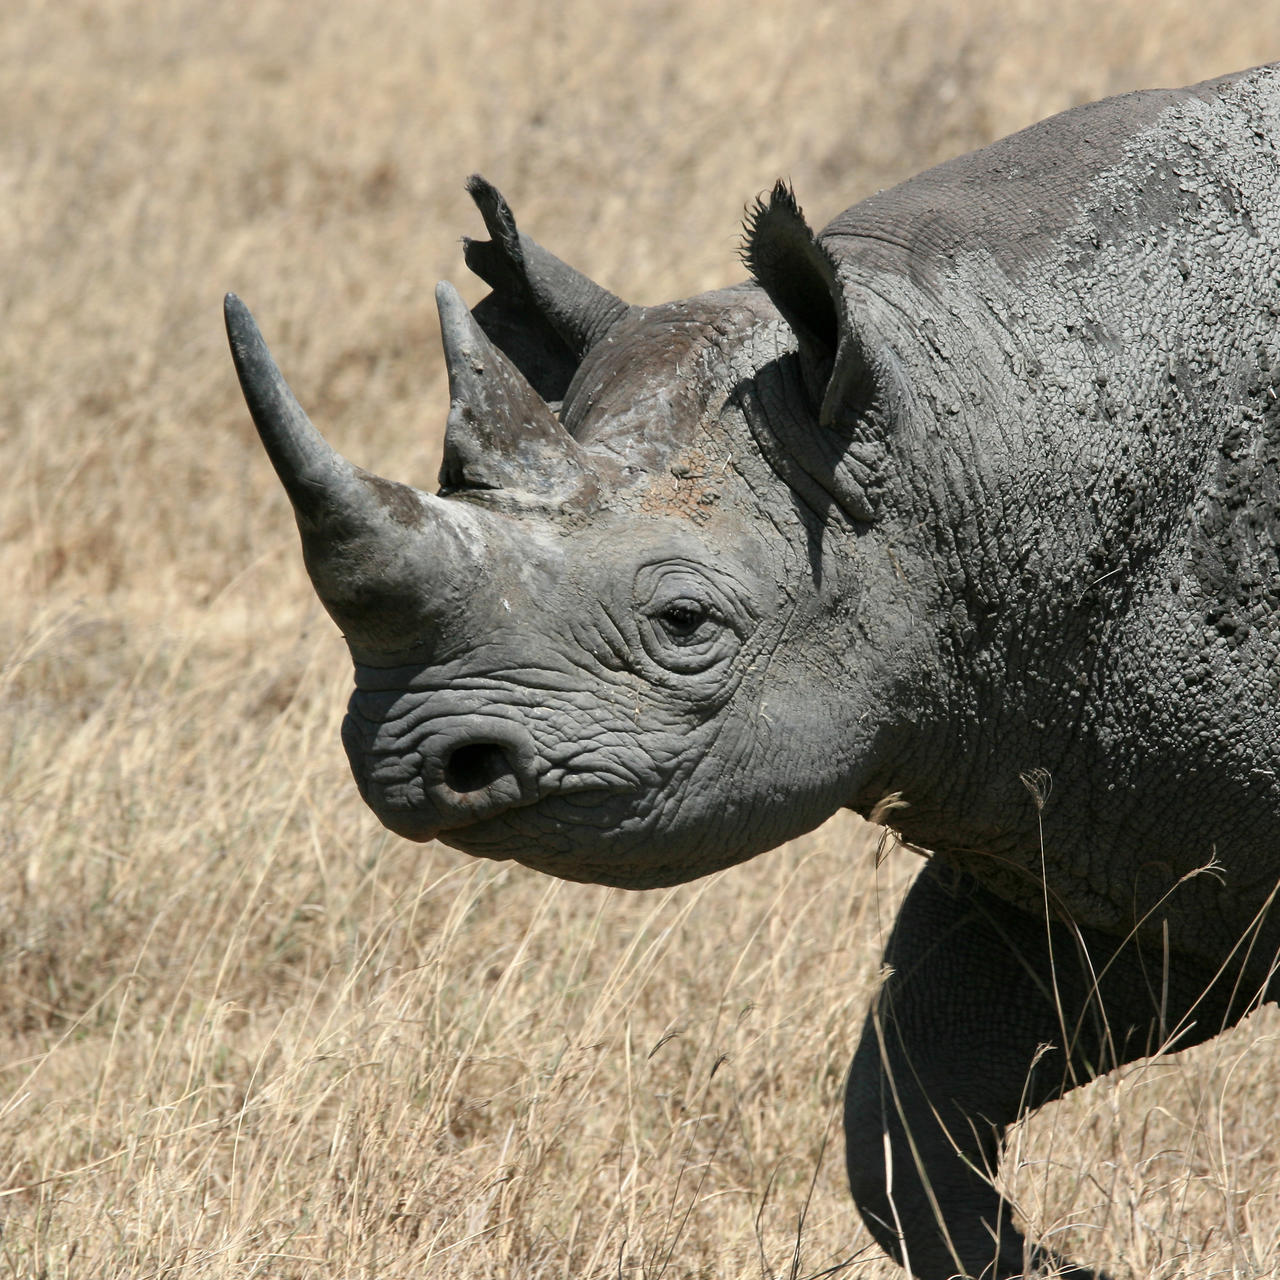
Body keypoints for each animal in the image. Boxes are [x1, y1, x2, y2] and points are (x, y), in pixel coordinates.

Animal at [226, 62, 1280, 1280]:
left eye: (685, 623)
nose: (403, 765)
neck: (958, 423)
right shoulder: (1110, 810)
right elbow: (909, 1105)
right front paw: (1046, 1260)